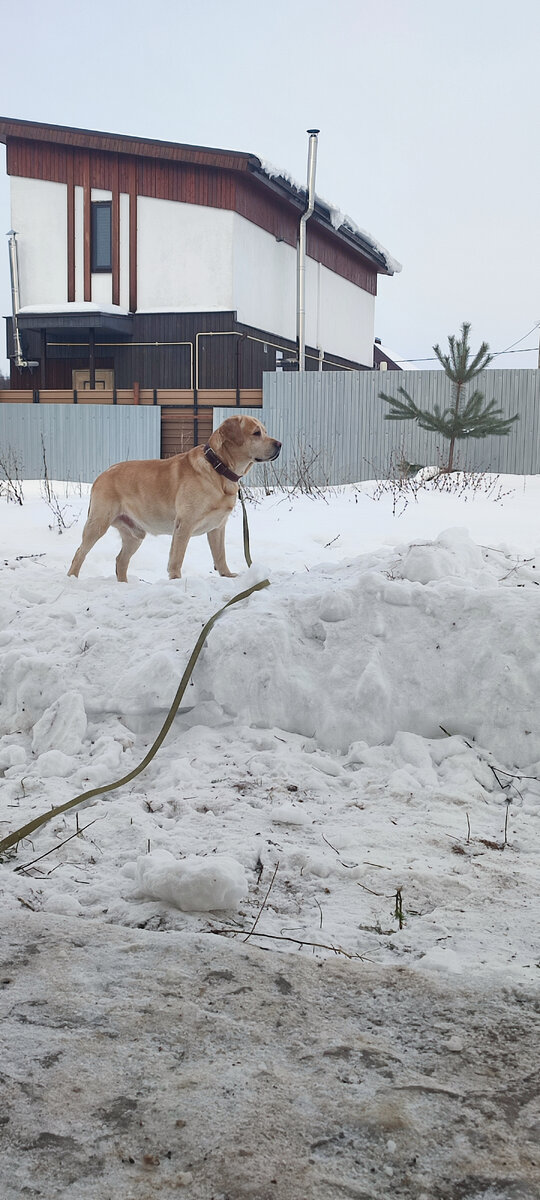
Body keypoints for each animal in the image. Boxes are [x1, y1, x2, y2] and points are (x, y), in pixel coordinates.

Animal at [66, 415, 280, 583]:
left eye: (265, 431)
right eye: (256, 433)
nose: (279, 444)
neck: (218, 468)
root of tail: (102, 474)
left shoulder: (218, 527)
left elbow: (220, 555)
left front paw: (227, 575)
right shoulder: (184, 524)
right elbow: (176, 559)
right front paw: (176, 580)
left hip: (135, 534)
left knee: (120, 561)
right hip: (98, 523)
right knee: (78, 553)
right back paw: (72, 579)